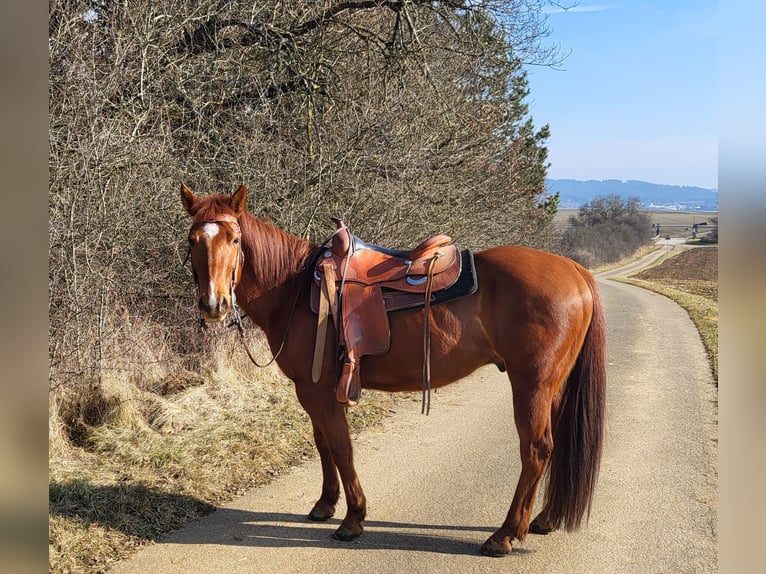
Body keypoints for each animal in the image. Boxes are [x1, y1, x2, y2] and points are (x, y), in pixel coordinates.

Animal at [180, 184, 608, 560]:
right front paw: (325, 505)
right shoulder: (312, 391)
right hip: (553, 385)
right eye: (193, 240)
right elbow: (323, 445)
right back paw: (545, 519)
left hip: (531, 385)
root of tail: (575, 270)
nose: (213, 304)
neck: (295, 290)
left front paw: (352, 519)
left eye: (235, 240)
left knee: (536, 449)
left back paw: (504, 535)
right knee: (557, 444)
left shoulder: (319, 392)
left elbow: (341, 448)